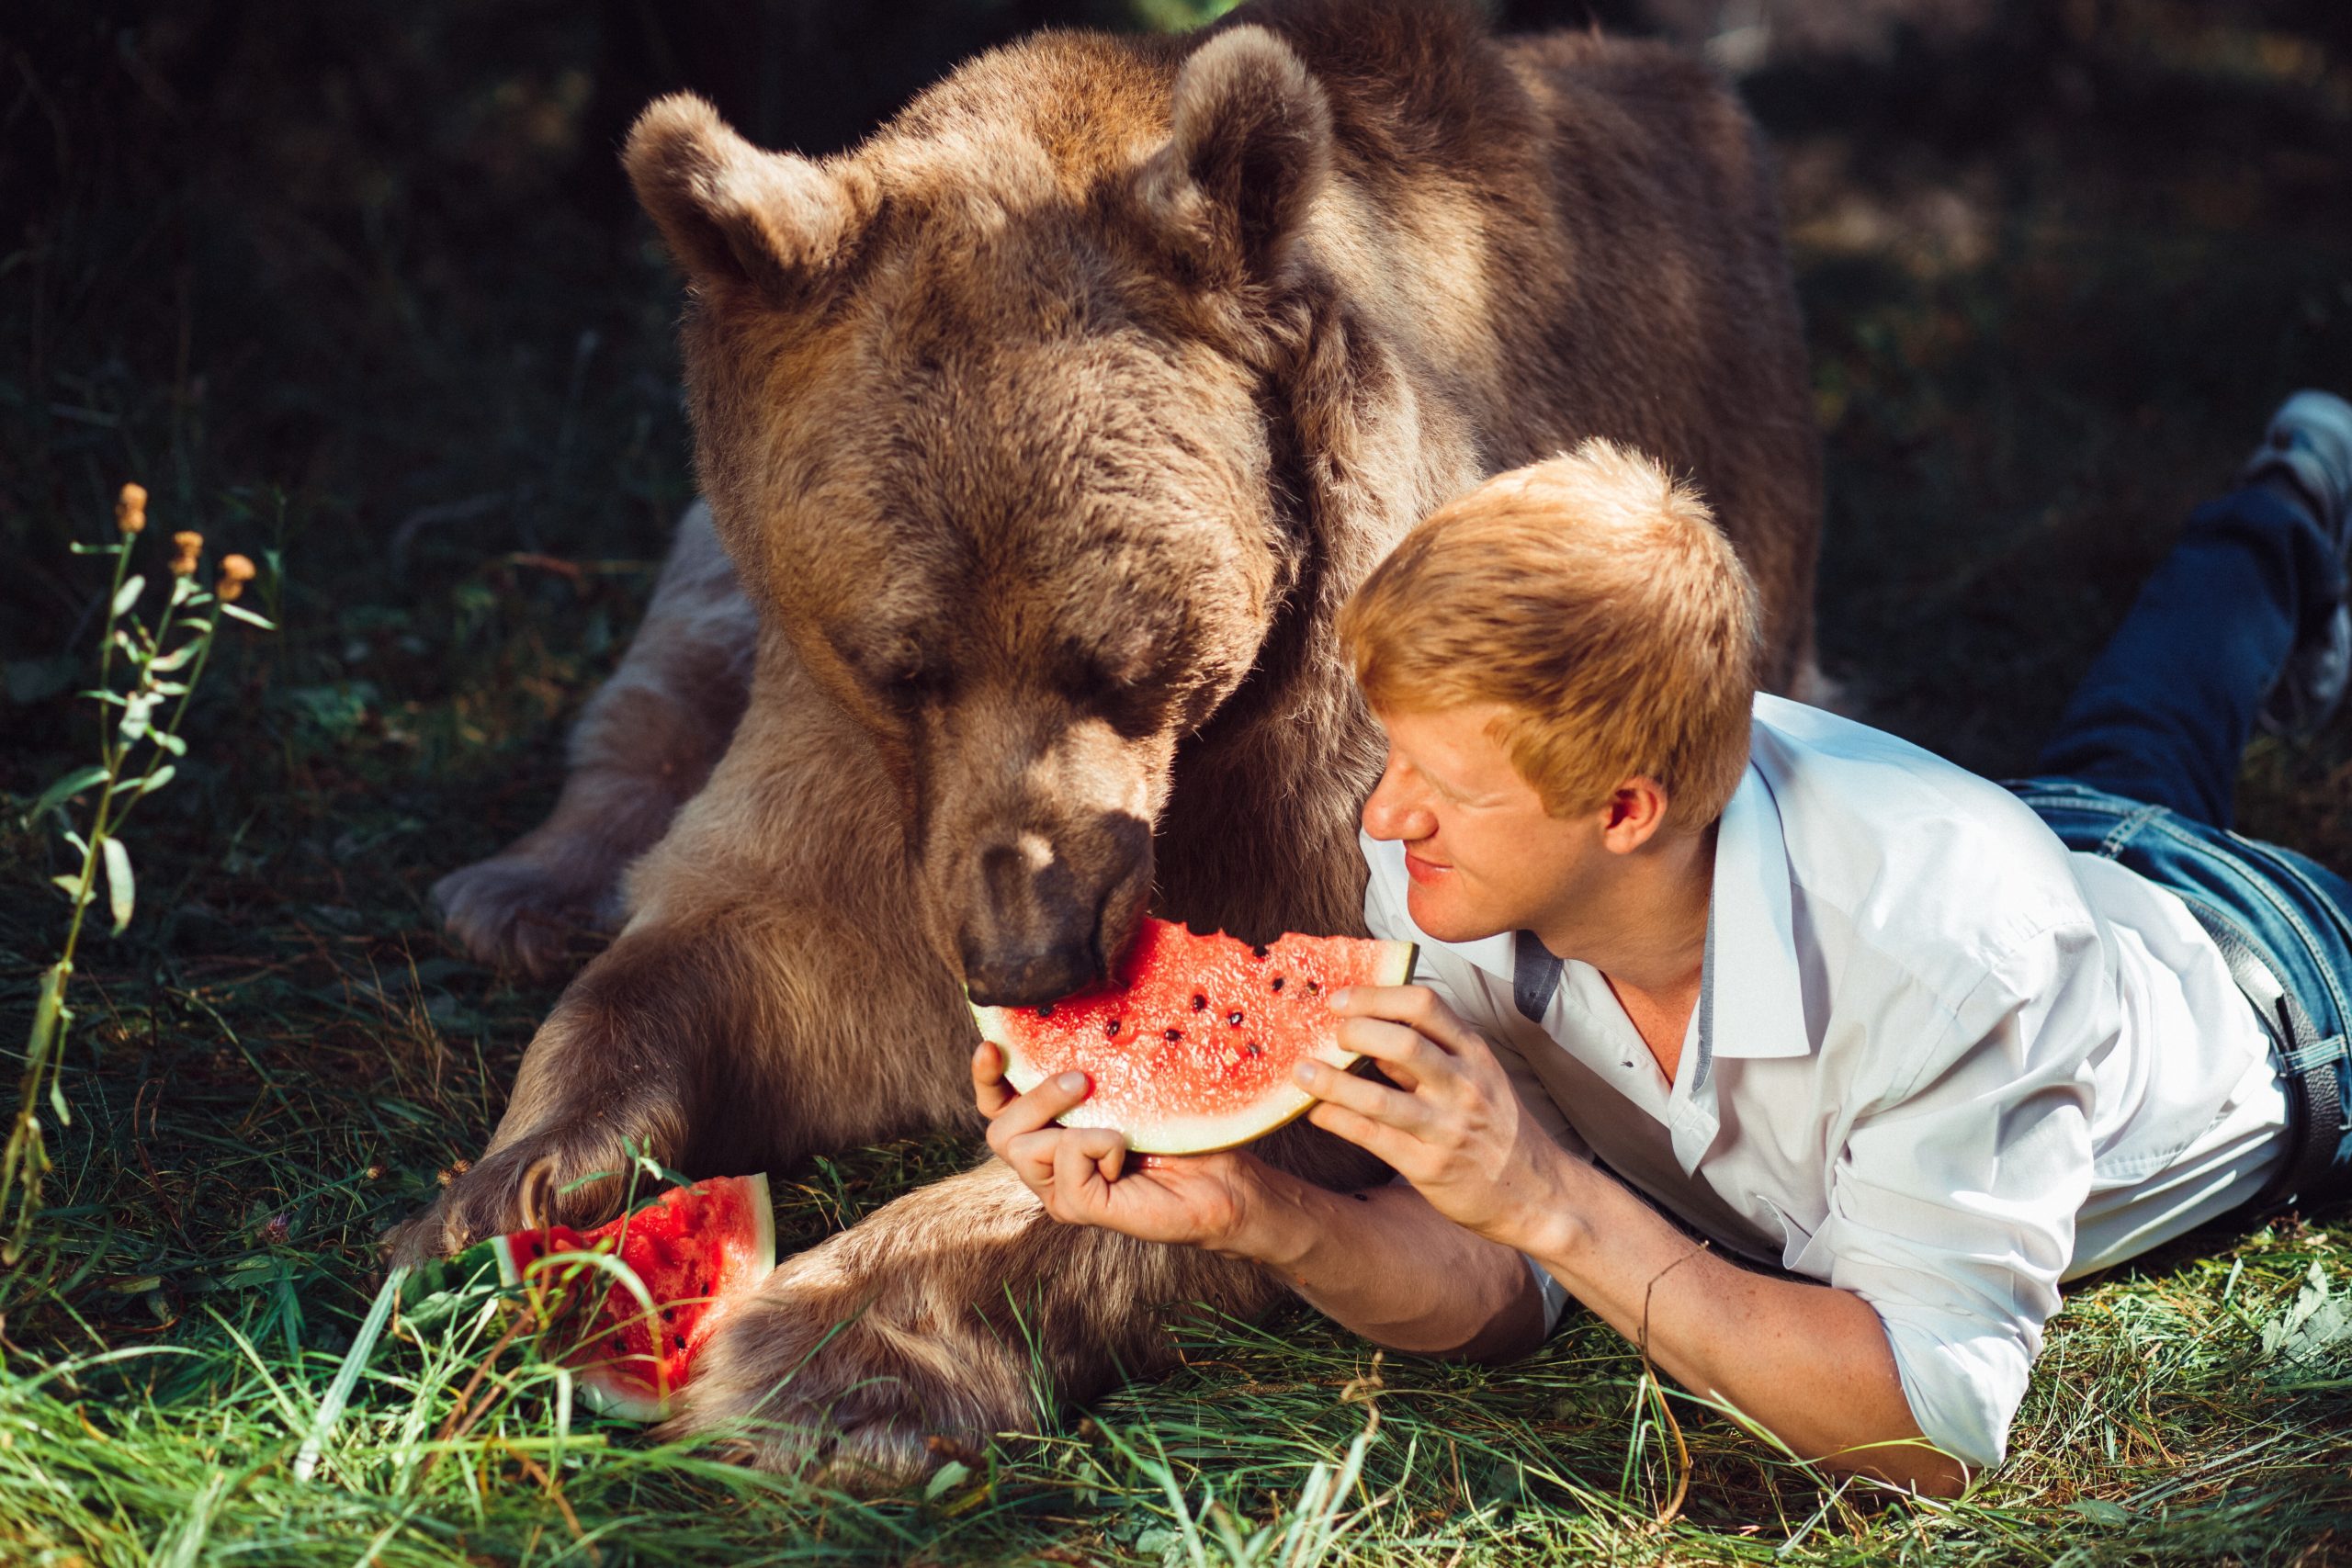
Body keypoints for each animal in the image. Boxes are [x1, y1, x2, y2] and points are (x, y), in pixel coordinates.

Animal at [390, 0, 1815, 1485]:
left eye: (1123, 663)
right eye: (903, 664)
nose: (1030, 955)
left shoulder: (1328, 769)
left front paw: (821, 1347)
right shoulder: (850, 757)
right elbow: (726, 954)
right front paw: (497, 1203)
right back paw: (522, 889)